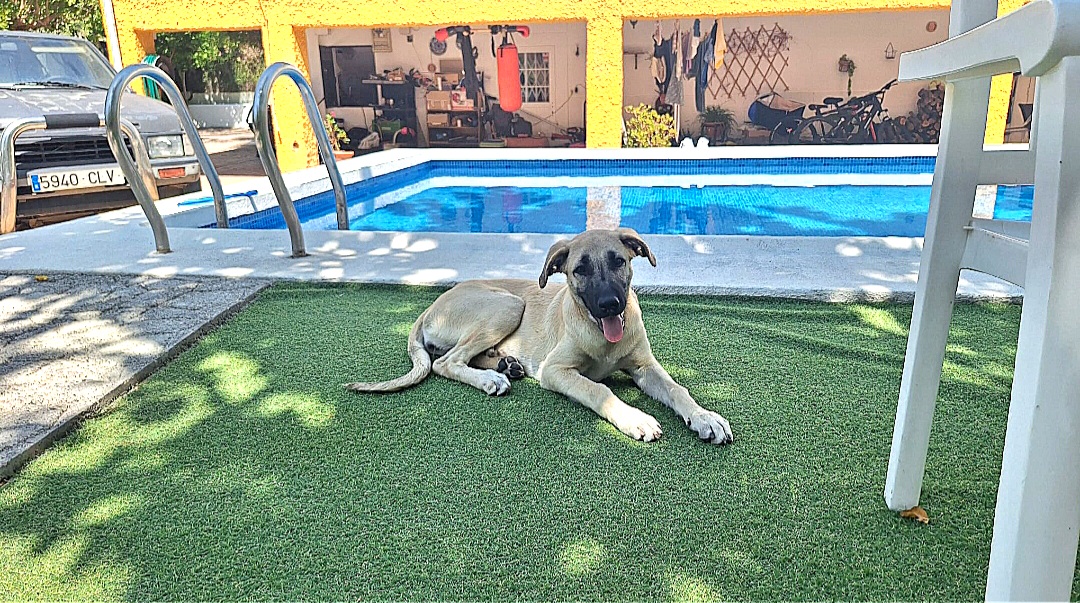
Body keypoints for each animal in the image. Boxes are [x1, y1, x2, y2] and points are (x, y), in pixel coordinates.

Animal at [345, 228, 733, 445]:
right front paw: (634, 418)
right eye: (579, 270)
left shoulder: (645, 367)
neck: (600, 335)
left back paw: (506, 364)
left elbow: (677, 389)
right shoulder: (556, 370)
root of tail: (429, 308)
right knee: (446, 361)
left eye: (619, 262)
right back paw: (491, 378)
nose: (610, 304)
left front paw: (705, 417)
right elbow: (600, 390)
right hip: (507, 304)